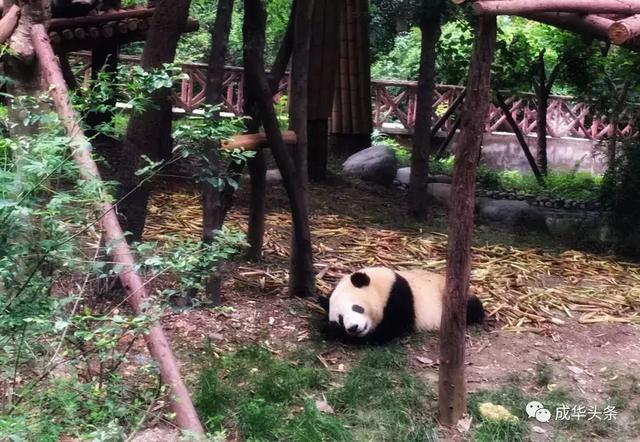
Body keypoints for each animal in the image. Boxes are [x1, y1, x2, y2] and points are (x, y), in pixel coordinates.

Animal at [318, 266, 488, 346]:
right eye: (340, 318)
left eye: (357, 308)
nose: (353, 328)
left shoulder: (398, 297)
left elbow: (385, 331)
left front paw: (331, 331)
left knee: (471, 307)